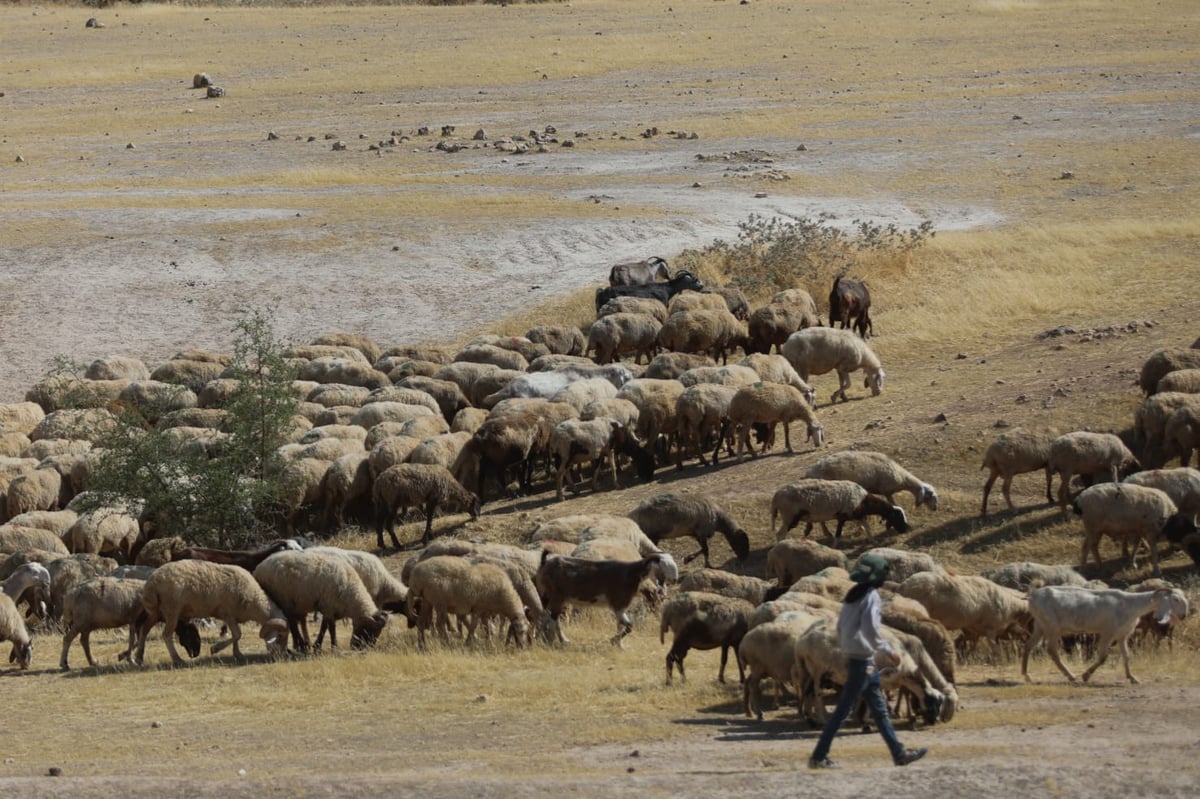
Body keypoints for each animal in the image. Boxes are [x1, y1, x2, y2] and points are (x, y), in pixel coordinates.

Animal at [134, 556, 290, 662]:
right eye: (280, 637)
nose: (281, 657)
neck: (254, 600)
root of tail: (151, 583)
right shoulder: (227, 614)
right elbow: (237, 634)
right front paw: (215, 649)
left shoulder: (233, 617)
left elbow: (236, 635)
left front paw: (237, 654)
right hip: (171, 611)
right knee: (166, 635)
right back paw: (177, 659)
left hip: (156, 612)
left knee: (144, 630)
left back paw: (139, 657)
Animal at [253, 547, 388, 652]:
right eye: (369, 630)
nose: (359, 648)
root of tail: (258, 568)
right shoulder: (328, 606)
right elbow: (326, 628)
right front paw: (320, 646)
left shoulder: (332, 608)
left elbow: (330, 627)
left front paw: (332, 645)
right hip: (283, 599)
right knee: (292, 623)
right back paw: (302, 645)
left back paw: (300, 645)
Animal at [535, 547, 676, 647]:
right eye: (664, 564)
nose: (674, 579)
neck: (631, 574)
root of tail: (544, 563)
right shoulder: (618, 604)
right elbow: (629, 626)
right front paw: (613, 640)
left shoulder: (620, 607)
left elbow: (621, 625)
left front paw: (619, 645)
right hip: (556, 596)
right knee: (553, 618)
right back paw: (560, 640)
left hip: (549, 596)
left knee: (545, 616)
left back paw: (547, 639)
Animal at [806, 448, 936, 511]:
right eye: (930, 495)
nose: (935, 509)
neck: (902, 477)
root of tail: (809, 472)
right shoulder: (887, 491)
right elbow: (893, 503)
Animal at [1022, 583, 1190, 681]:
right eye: (1175, 599)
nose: (1183, 615)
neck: (1130, 605)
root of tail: (1033, 596)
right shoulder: (1107, 633)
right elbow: (1103, 657)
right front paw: (1086, 675)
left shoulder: (1123, 635)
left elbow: (1126, 656)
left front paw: (1132, 677)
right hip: (1052, 628)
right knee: (1052, 651)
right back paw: (1071, 676)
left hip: (1040, 625)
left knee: (1028, 645)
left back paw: (1027, 675)